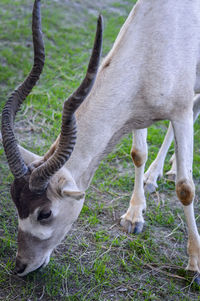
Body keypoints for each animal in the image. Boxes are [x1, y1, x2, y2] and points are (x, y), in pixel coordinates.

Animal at [1, 0, 200, 278]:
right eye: (13, 199)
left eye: (45, 213)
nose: (20, 266)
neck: (154, 37)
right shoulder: (137, 113)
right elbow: (138, 154)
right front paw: (134, 216)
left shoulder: (179, 112)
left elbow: (185, 188)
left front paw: (194, 263)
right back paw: (155, 175)